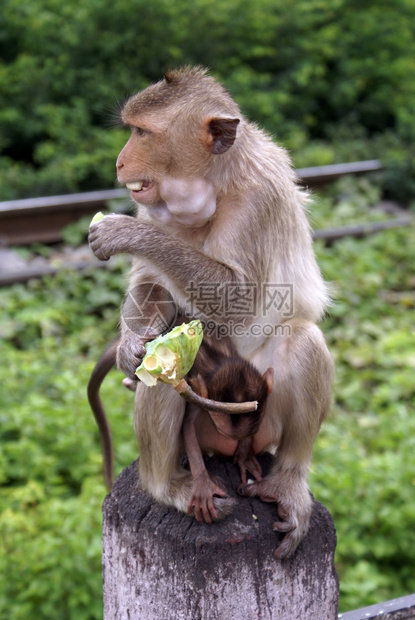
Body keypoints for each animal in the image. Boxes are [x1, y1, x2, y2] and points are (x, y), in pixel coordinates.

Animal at [89, 65, 336, 560]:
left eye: (142, 132)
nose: (121, 162)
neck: (216, 186)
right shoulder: (153, 205)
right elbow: (152, 285)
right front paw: (130, 344)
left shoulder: (259, 200)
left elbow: (237, 296)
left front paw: (125, 233)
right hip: (204, 428)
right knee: (163, 367)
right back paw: (166, 485)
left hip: (263, 417)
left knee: (300, 337)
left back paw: (288, 481)